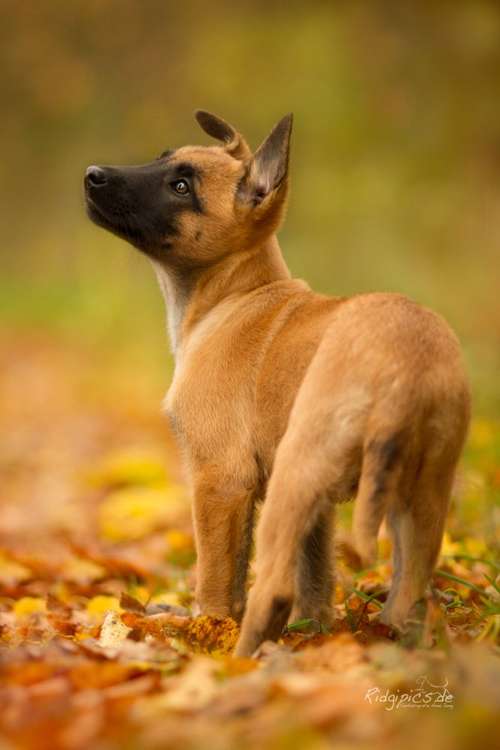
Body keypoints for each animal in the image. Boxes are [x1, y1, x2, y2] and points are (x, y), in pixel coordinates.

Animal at [84, 110, 470, 656]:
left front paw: (205, 631)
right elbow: (316, 582)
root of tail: (405, 361)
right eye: (162, 160)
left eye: (182, 187)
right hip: (420, 496)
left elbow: (220, 580)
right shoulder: (320, 509)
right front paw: (316, 632)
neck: (235, 293)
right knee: (411, 592)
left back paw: (239, 658)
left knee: (272, 589)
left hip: (297, 470)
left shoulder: (221, 480)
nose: (92, 175)